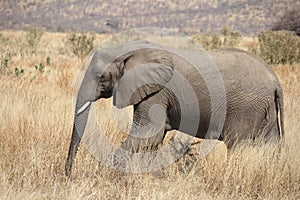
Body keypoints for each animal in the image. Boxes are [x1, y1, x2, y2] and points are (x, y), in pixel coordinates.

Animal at [65, 39, 284, 176]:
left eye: (100, 76)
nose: (68, 175)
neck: (132, 50)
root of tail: (275, 79)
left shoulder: (157, 92)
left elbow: (148, 135)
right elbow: (153, 138)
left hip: (246, 106)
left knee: (238, 145)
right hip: (265, 108)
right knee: (270, 145)